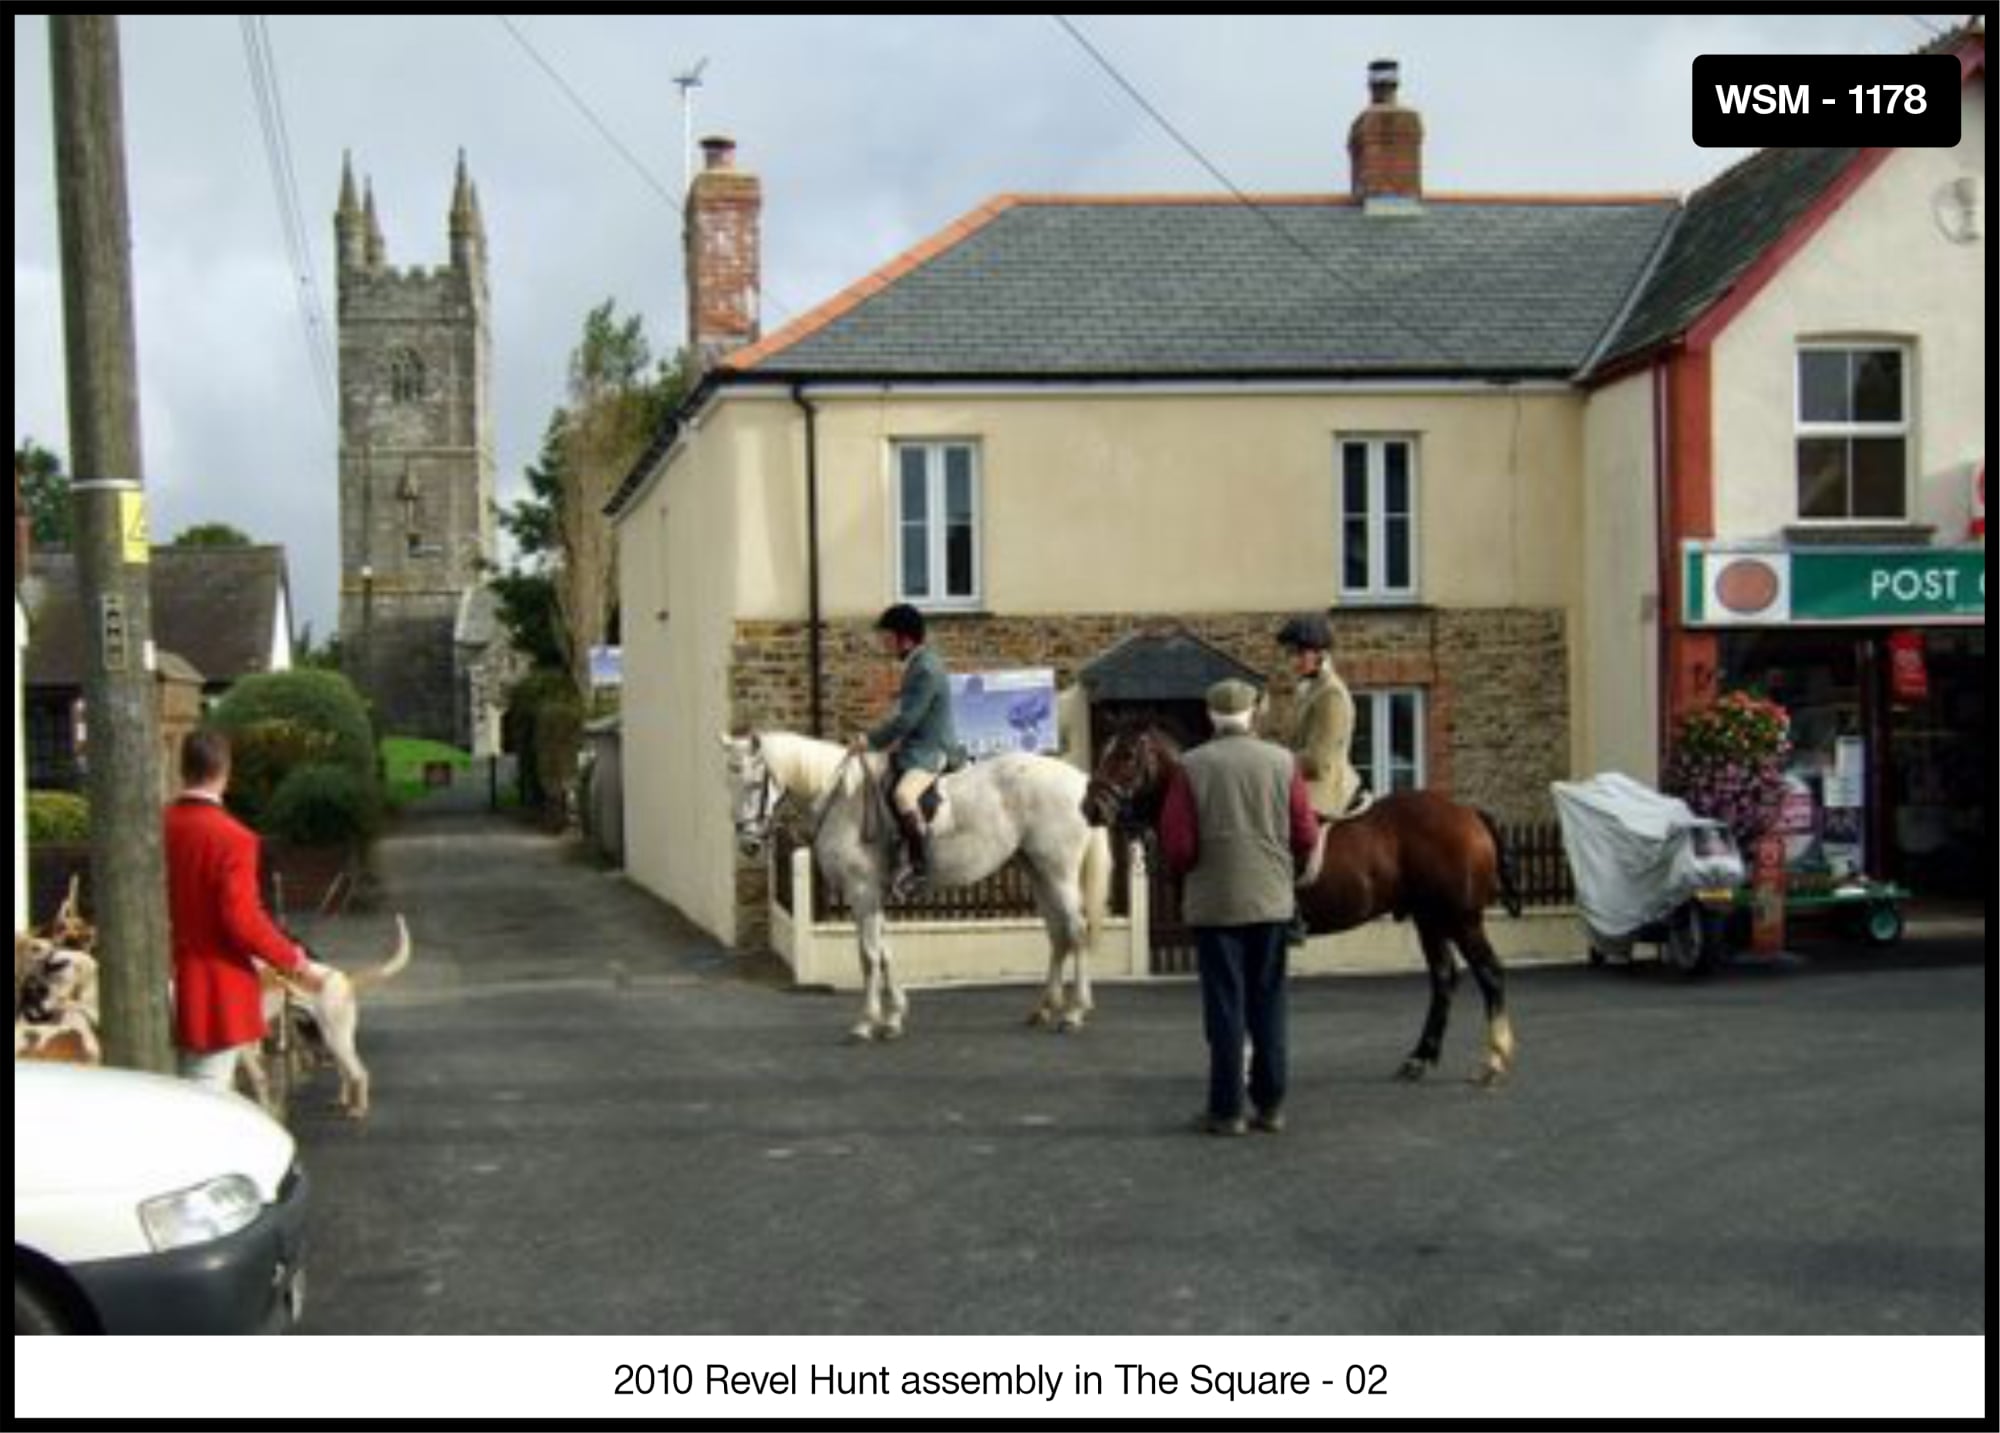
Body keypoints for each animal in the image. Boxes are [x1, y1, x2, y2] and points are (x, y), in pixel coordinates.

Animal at [728, 732, 1120, 1032]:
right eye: (729, 782)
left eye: (754, 784)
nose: (748, 844)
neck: (839, 798)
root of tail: (1078, 780)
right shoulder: (873, 897)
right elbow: (884, 952)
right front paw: (894, 1016)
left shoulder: (861, 894)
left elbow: (869, 955)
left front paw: (867, 1022)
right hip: (1037, 871)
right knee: (1058, 934)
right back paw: (1045, 1008)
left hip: (1058, 871)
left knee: (1077, 930)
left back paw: (1074, 1012)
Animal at [1088, 728, 1520, 1088]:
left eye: (1127, 755)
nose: (1090, 807)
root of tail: (1466, 812)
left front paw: (1244, 1065)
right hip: (1430, 919)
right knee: (1444, 979)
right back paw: (1420, 1058)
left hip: (1461, 919)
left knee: (1490, 974)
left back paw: (1493, 1060)